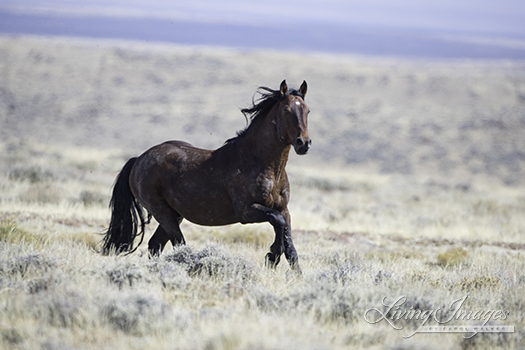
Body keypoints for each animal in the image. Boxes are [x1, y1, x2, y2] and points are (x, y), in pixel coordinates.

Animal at [100, 80, 310, 272]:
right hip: (162, 212)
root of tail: (138, 160)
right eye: (286, 110)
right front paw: (272, 255)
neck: (267, 166)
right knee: (178, 245)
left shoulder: (284, 209)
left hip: (174, 214)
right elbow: (278, 223)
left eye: (307, 110)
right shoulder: (247, 211)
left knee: (155, 245)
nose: (304, 144)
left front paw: (288, 269)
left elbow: (290, 245)